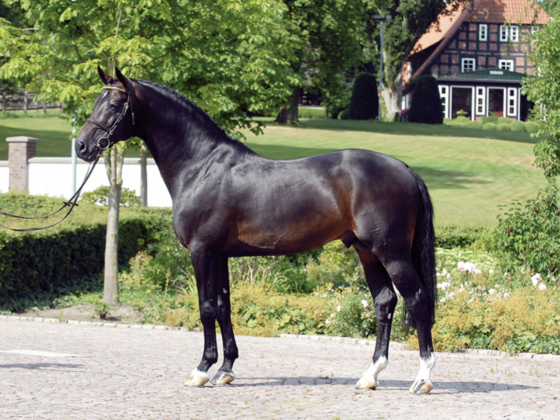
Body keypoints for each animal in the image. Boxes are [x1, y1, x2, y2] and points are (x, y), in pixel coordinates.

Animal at [77, 68, 438, 394]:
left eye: (114, 104)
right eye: (97, 101)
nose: (82, 146)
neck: (200, 166)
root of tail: (404, 169)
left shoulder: (201, 251)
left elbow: (206, 308)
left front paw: (202, 370)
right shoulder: (220, 255)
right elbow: (223, 306)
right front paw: (225, 369)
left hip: (392, 253)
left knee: (417, 300)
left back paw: (422, 379)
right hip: (367, 252)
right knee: (385, 302)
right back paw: (370, 376)